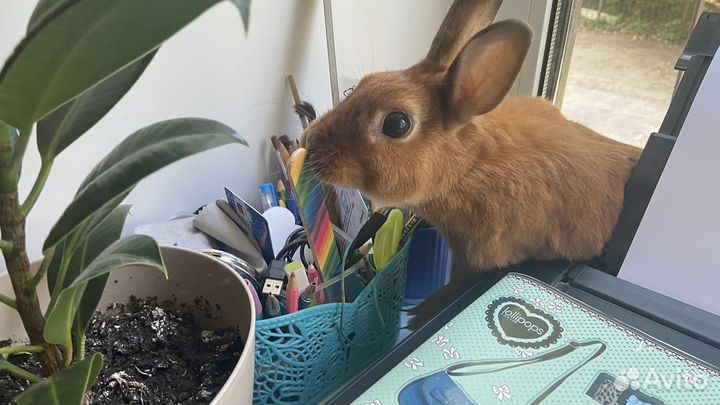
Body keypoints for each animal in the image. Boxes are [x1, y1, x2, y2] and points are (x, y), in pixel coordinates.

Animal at [301, 0, 641, 329]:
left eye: (398, 124)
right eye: (363, 84)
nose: (309, 141)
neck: (467, 168)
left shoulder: (483, 256)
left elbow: (457, 287)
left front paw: (423, 315)